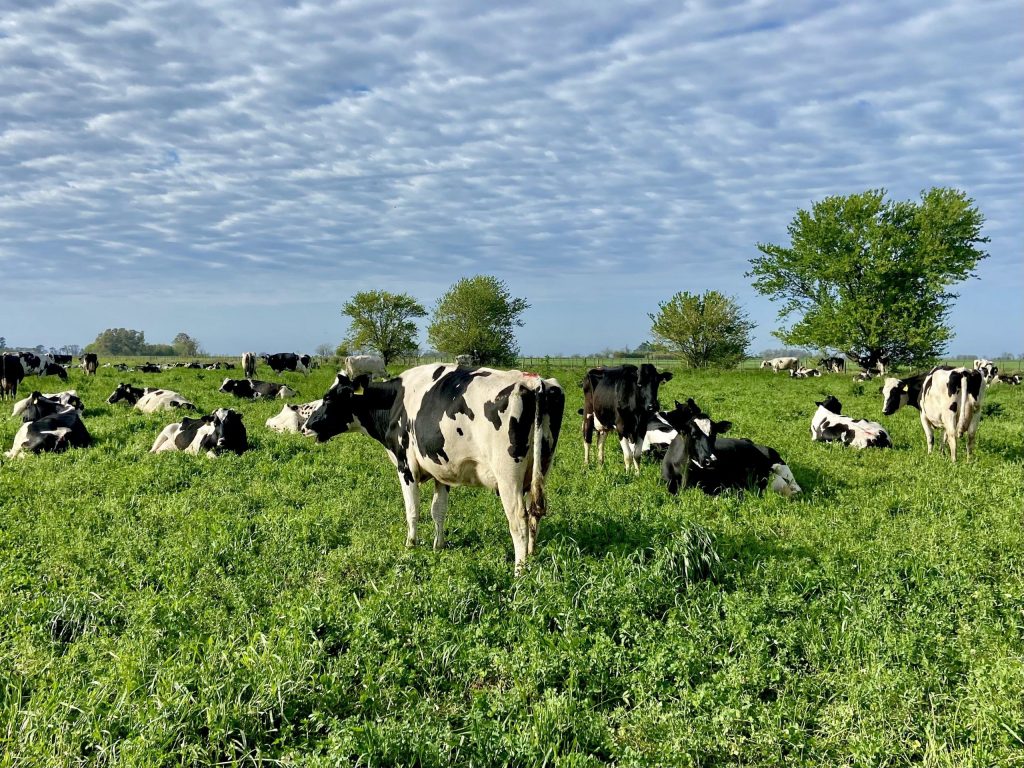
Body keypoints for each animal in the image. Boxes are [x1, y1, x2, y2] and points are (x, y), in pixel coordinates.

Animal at [301, 368, 569, 577]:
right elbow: (438, 511)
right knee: (535, 514)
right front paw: (438, 546)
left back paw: (520, 571)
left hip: (508, 476)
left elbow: (413, 511)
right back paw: (532, 555)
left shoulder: (405, 465)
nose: (305, 426)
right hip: (539, 468)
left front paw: (410, 545)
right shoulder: (443, 469)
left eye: (328, 398)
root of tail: (534, 382)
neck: (394, 401)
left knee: (519, 520)